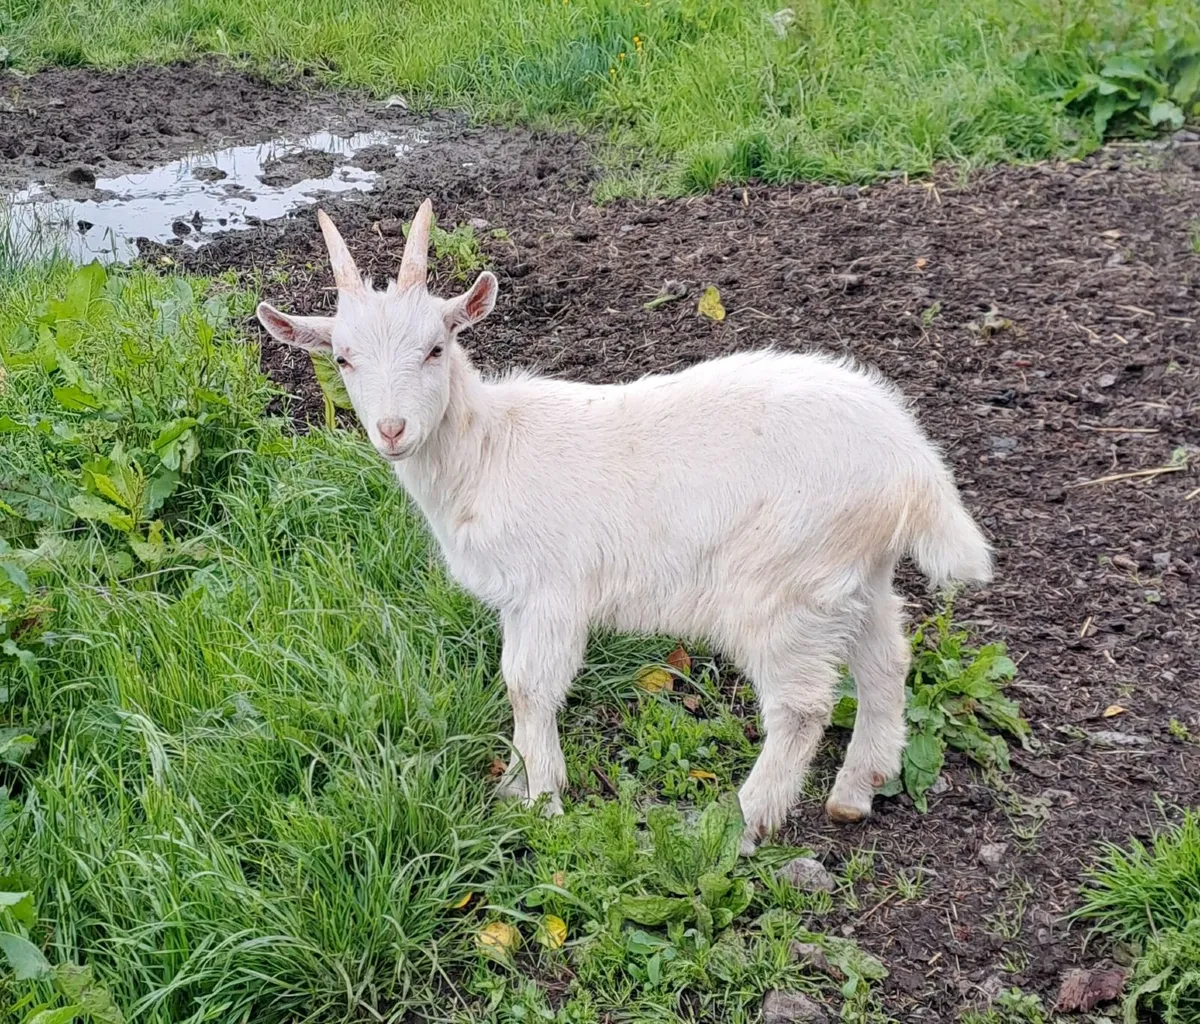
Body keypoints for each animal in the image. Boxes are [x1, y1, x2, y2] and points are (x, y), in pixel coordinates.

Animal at [256, 200, 993, 851]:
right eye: (342, 358)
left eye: (437, 348)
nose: (392, 430)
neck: (487, 450)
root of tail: (910, 461)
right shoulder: (517, 600)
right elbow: (516, 686)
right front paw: (517, 786)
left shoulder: (552, 592)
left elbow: (531, 687)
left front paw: (544, 802)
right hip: (853, 572)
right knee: (886, 659)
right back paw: (856, 788)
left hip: (786, 580)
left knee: (801, 704)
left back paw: (745, 821)